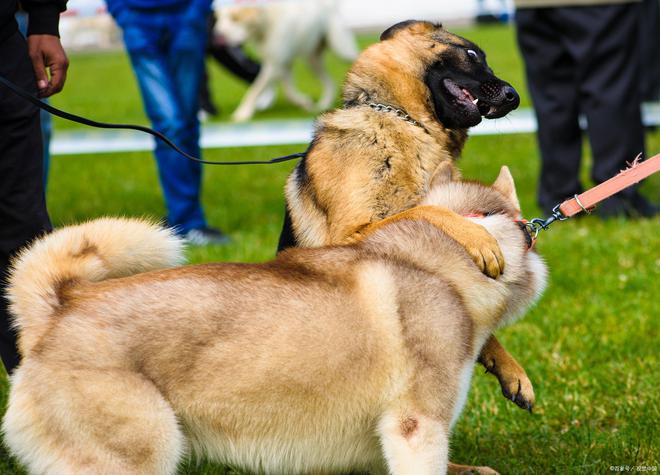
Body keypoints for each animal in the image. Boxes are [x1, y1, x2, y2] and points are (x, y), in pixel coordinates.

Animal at [215, 0, 360, 122]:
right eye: (219, 20)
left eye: (235, 18)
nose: (217, 34)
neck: (267, 23)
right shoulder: (282, 64)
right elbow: (288, 92)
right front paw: (304, 102)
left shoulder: (274, 65)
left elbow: (254, 90)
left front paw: (242, 113)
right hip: (312, 60)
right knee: (329, 82)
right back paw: (322, 105)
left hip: (341, 48)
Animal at [280, 19, 532, 472]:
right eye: (472, 54)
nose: (514, 97)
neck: (407, 124)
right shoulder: (353, 233)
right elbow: (427, 210)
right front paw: (478, 238)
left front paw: (510, 369)